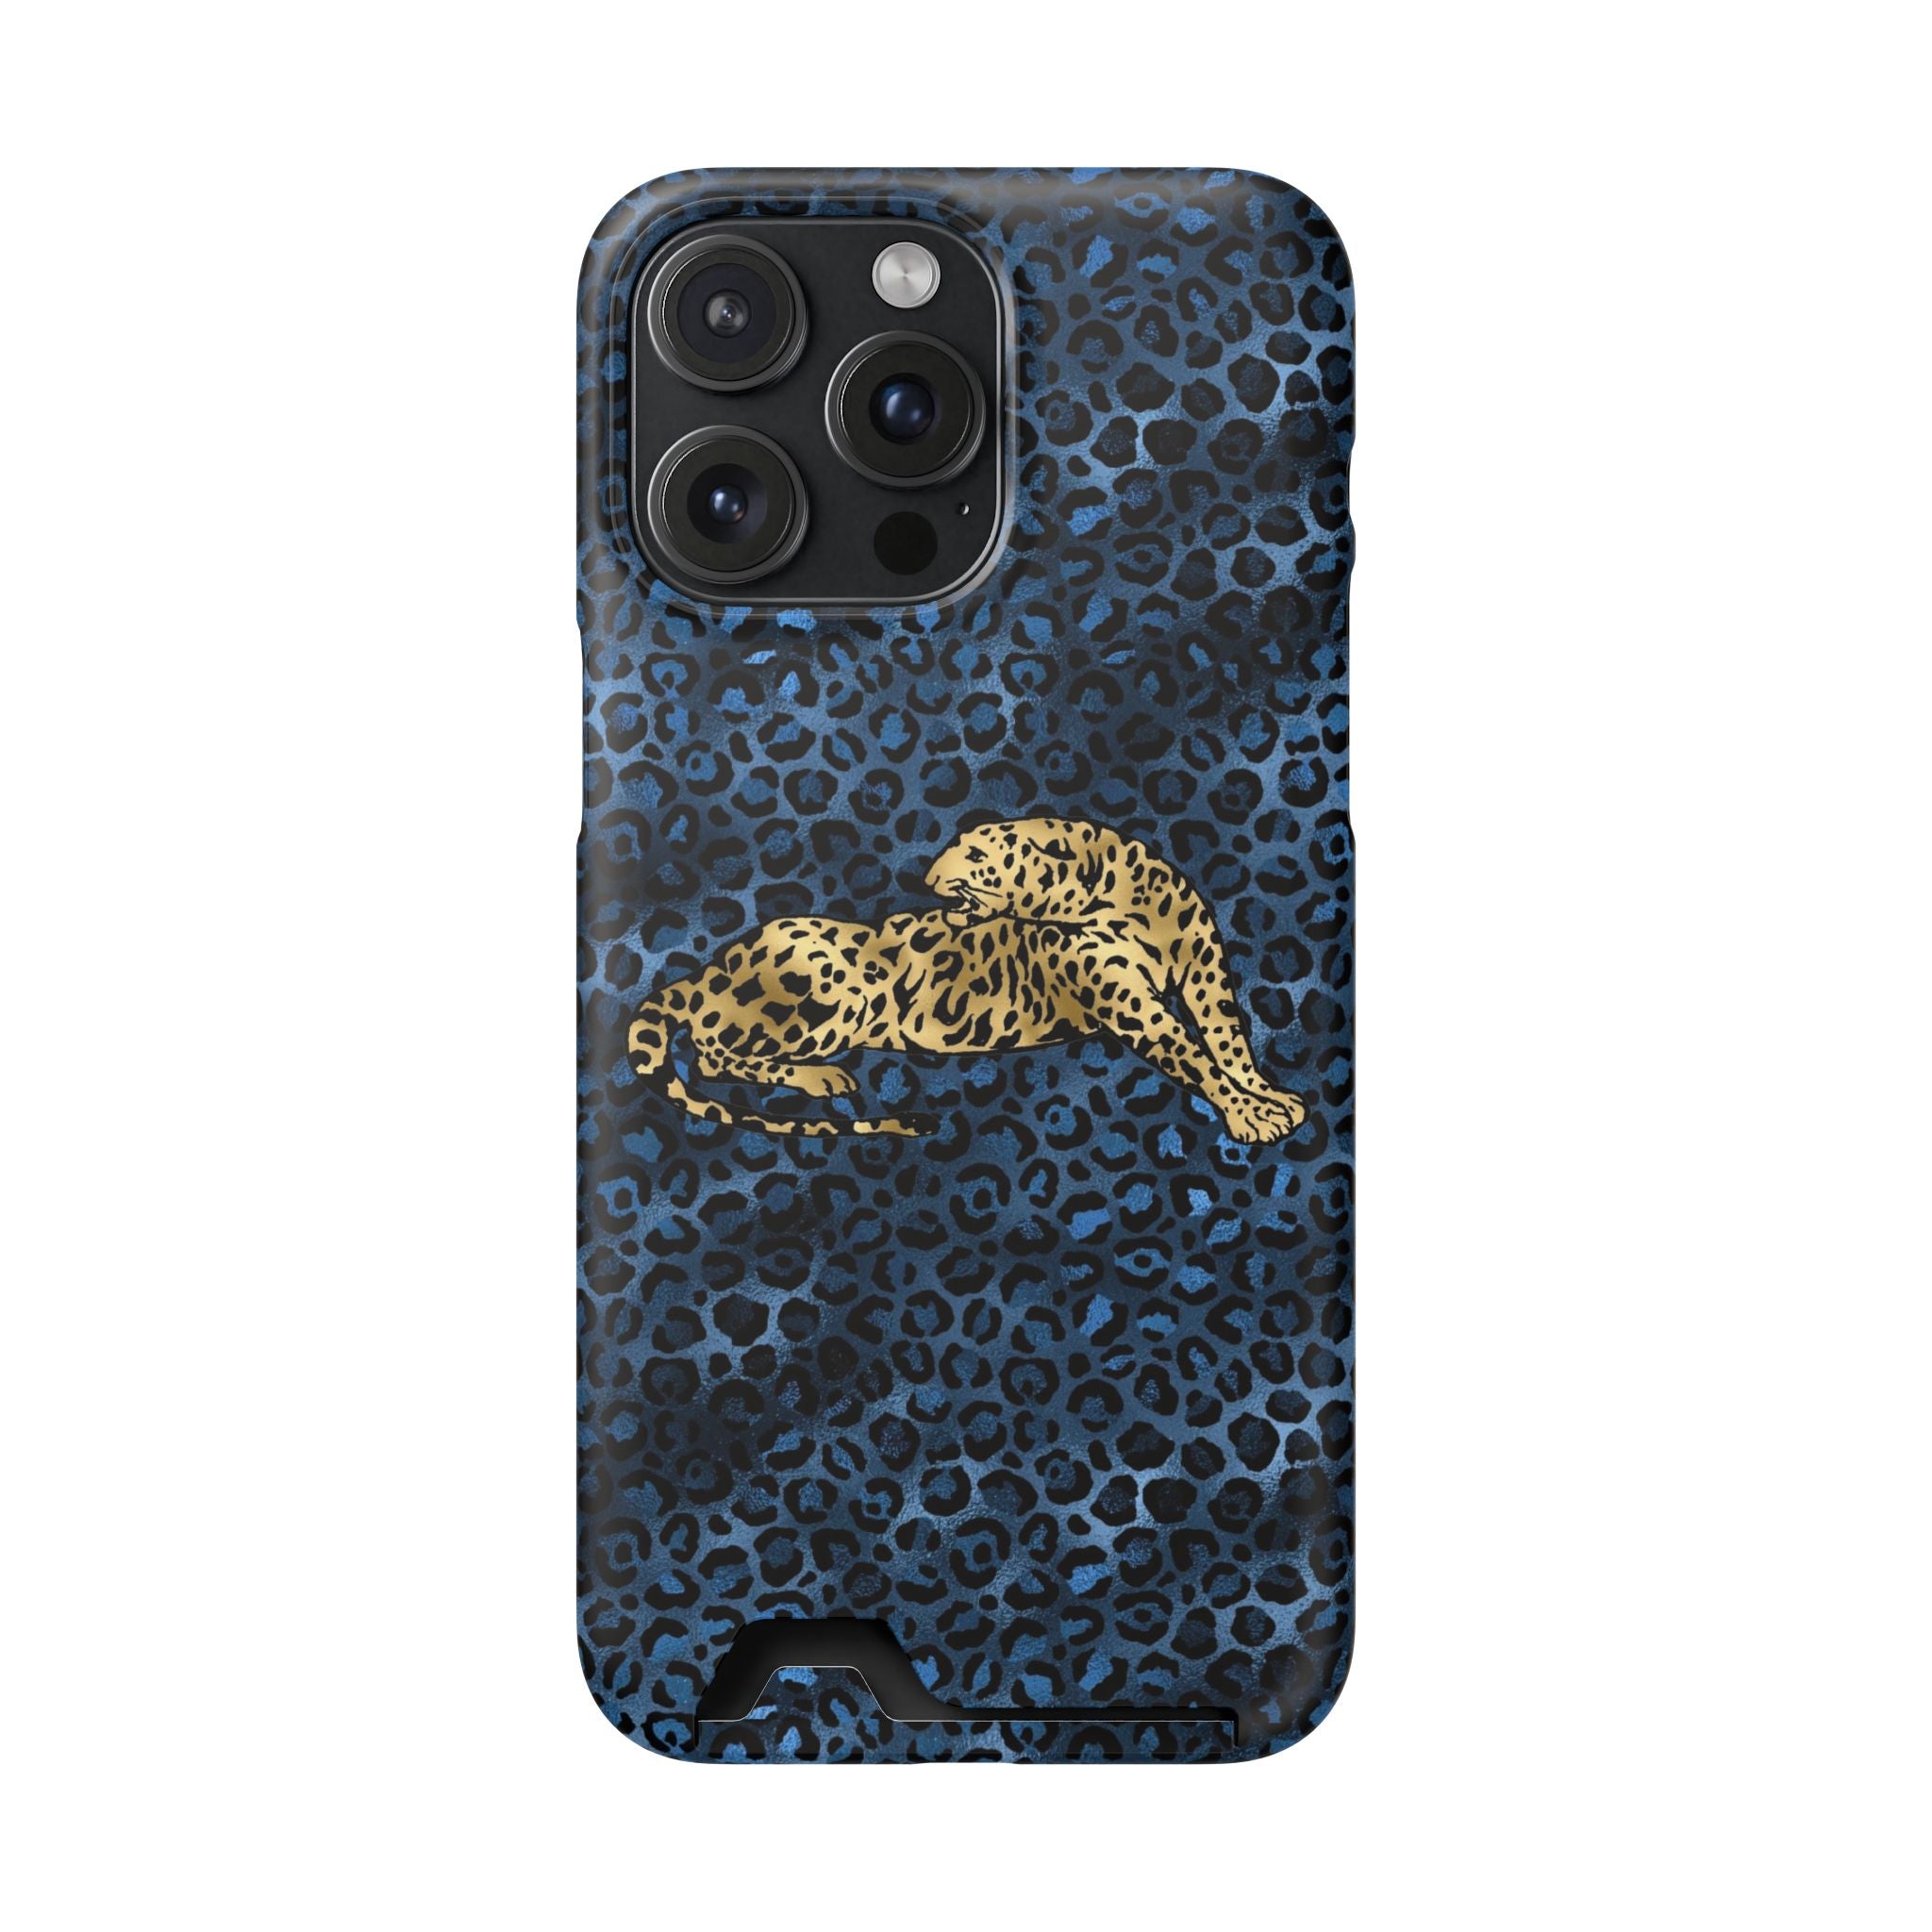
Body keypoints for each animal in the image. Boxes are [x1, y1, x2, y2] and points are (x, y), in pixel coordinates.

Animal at [625, 816, 1305, 1144]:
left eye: (978, 856)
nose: (926, 878)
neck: (1124, 900)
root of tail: (714, 966)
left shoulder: (1204, 969)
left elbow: (1228, 1040)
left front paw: (1268, 1095)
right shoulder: (1132, 1003)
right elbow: (1193, 1055)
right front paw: (1250, 1116)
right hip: (837, 988)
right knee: (712, 1054)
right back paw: (822, 1077)